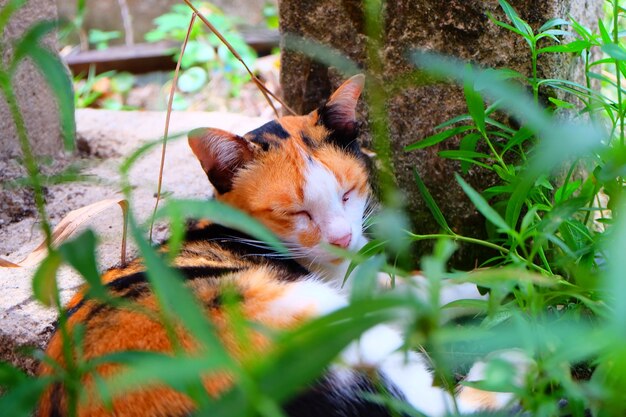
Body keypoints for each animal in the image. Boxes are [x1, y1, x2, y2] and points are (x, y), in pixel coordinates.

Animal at [37, 75, 528, 416]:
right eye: (298, 213)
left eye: (347, 193)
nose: (343, 238)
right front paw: (499, 288)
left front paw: (486, 281)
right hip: (310, 314)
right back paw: (517, 354)